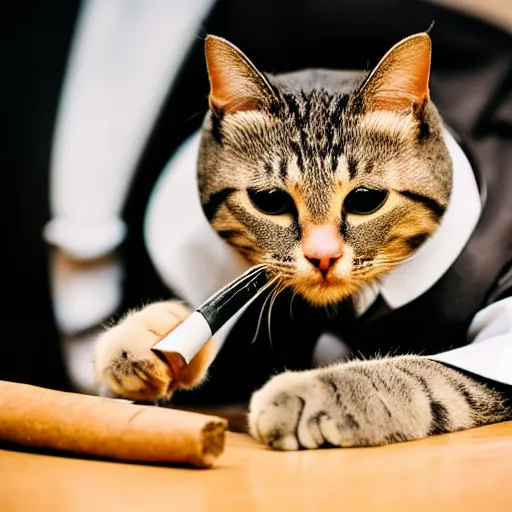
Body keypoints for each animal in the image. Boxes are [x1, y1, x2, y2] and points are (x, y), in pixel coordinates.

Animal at [94, 32, 510, 450]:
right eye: (270, 201)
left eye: (365, 200)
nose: (322, 257)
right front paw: (149, 331)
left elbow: (427, 375)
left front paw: (317, 392)